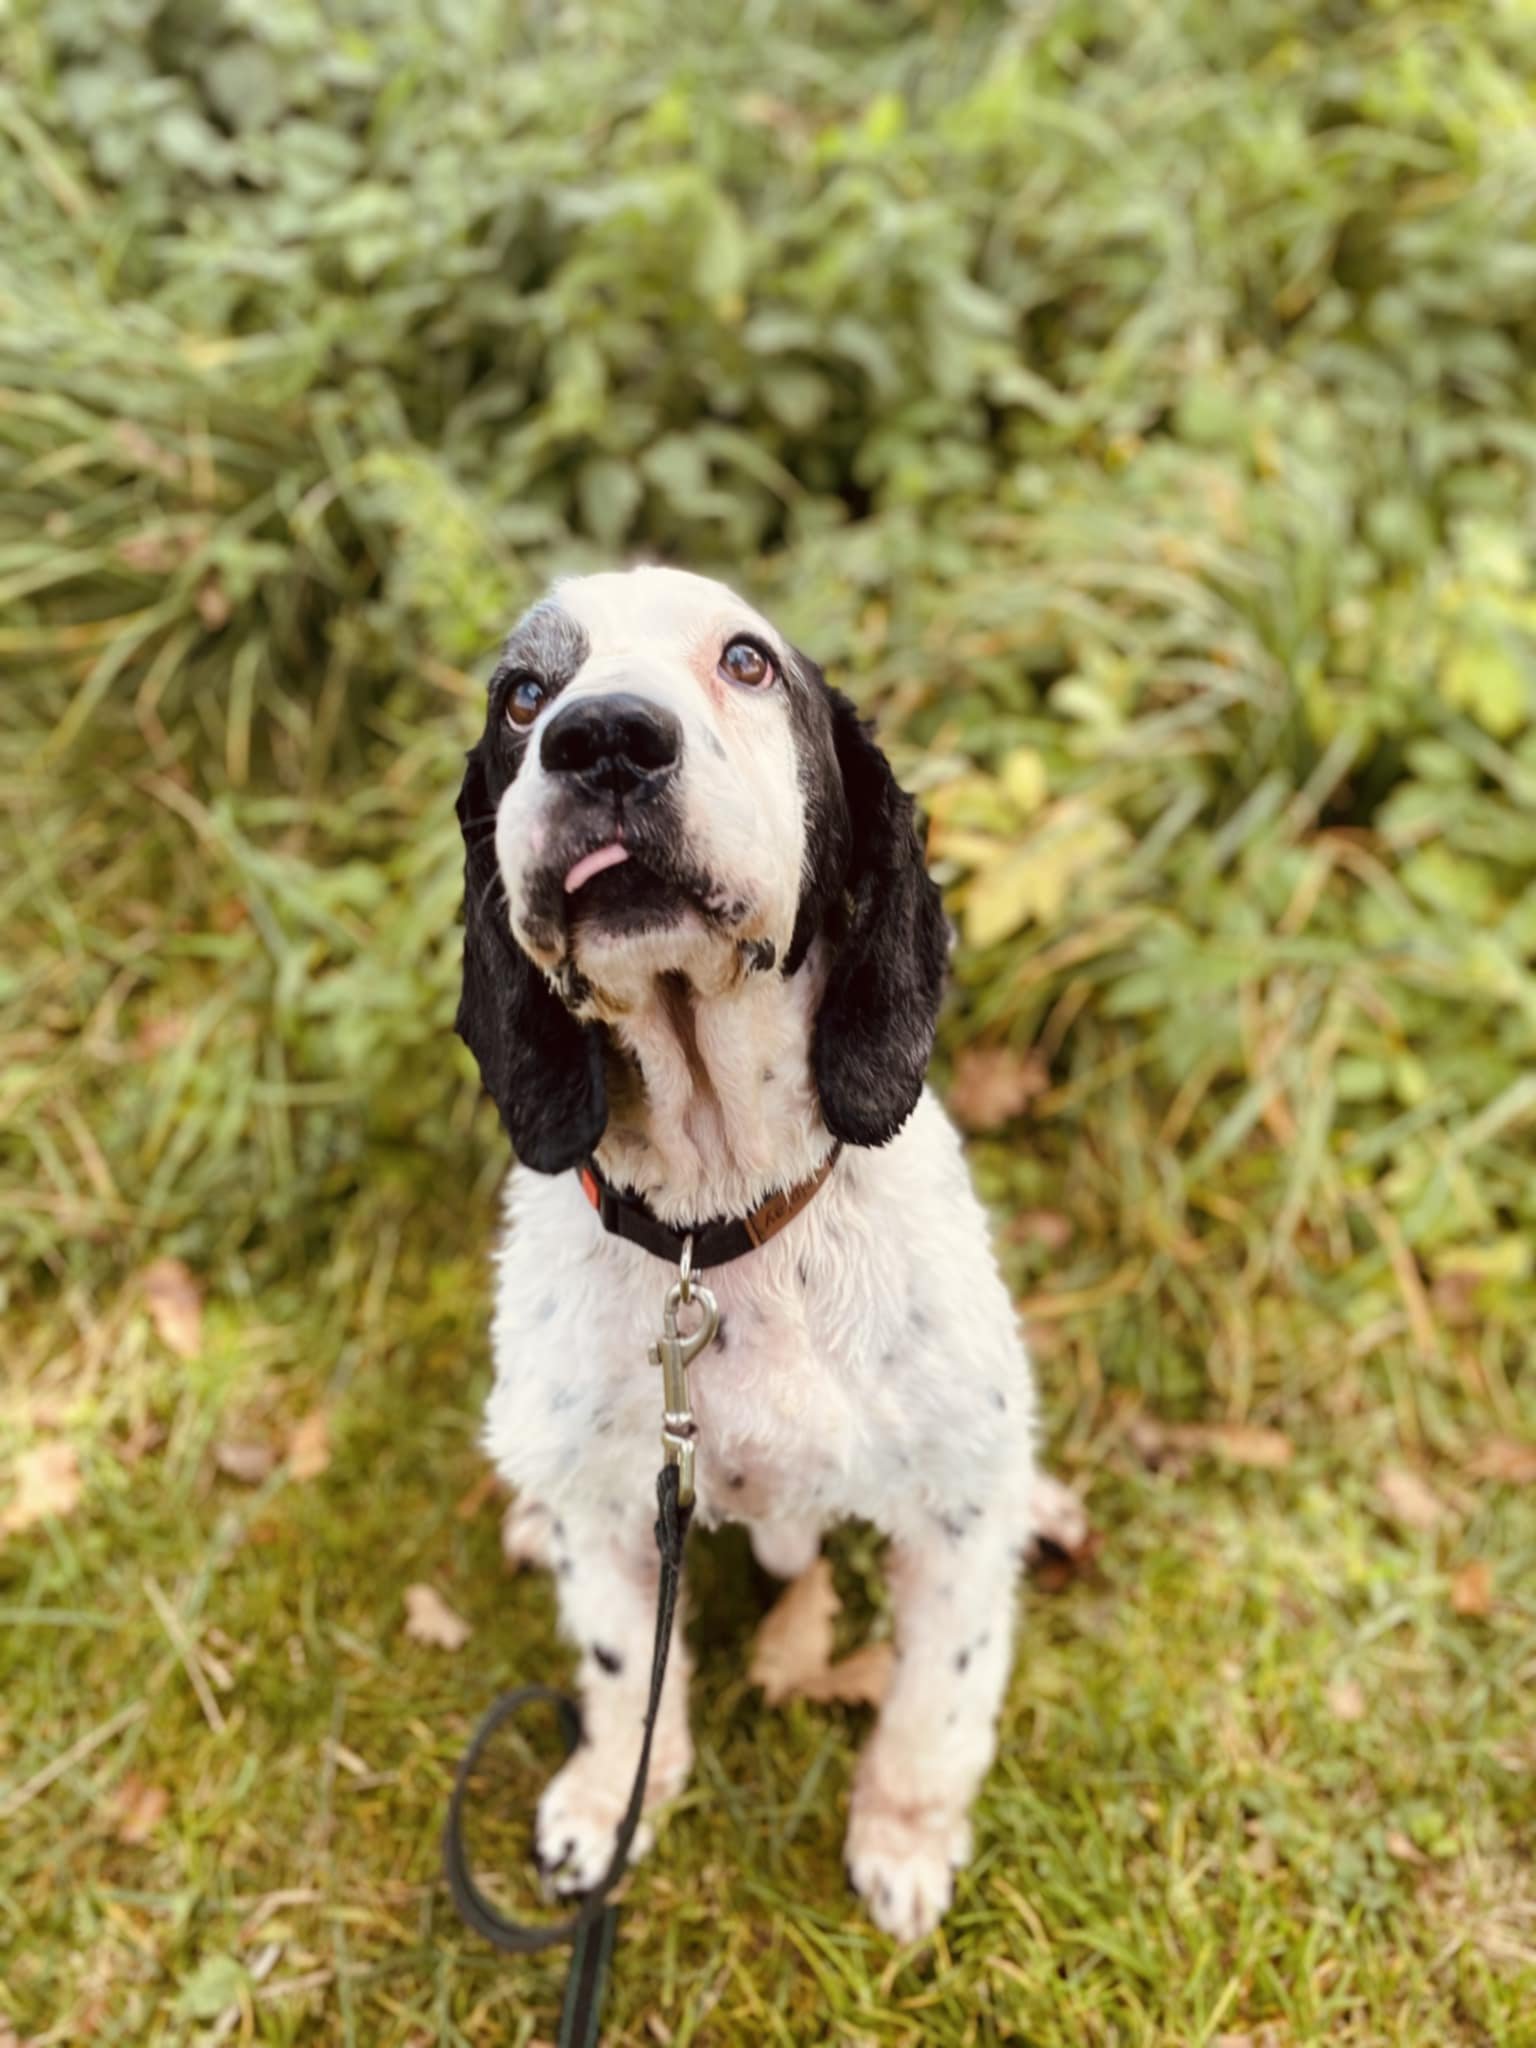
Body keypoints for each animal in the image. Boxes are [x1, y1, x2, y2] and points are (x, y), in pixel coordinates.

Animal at [455, 566, 1058, 1941]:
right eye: (522, 692)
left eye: (746, 660)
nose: (603, 737)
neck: (717, 1234)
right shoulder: (614, 1505)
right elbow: (626, 1676)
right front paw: (606, 1808)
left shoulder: (954, 1508)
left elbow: (935, 1701)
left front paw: (903, 1835)